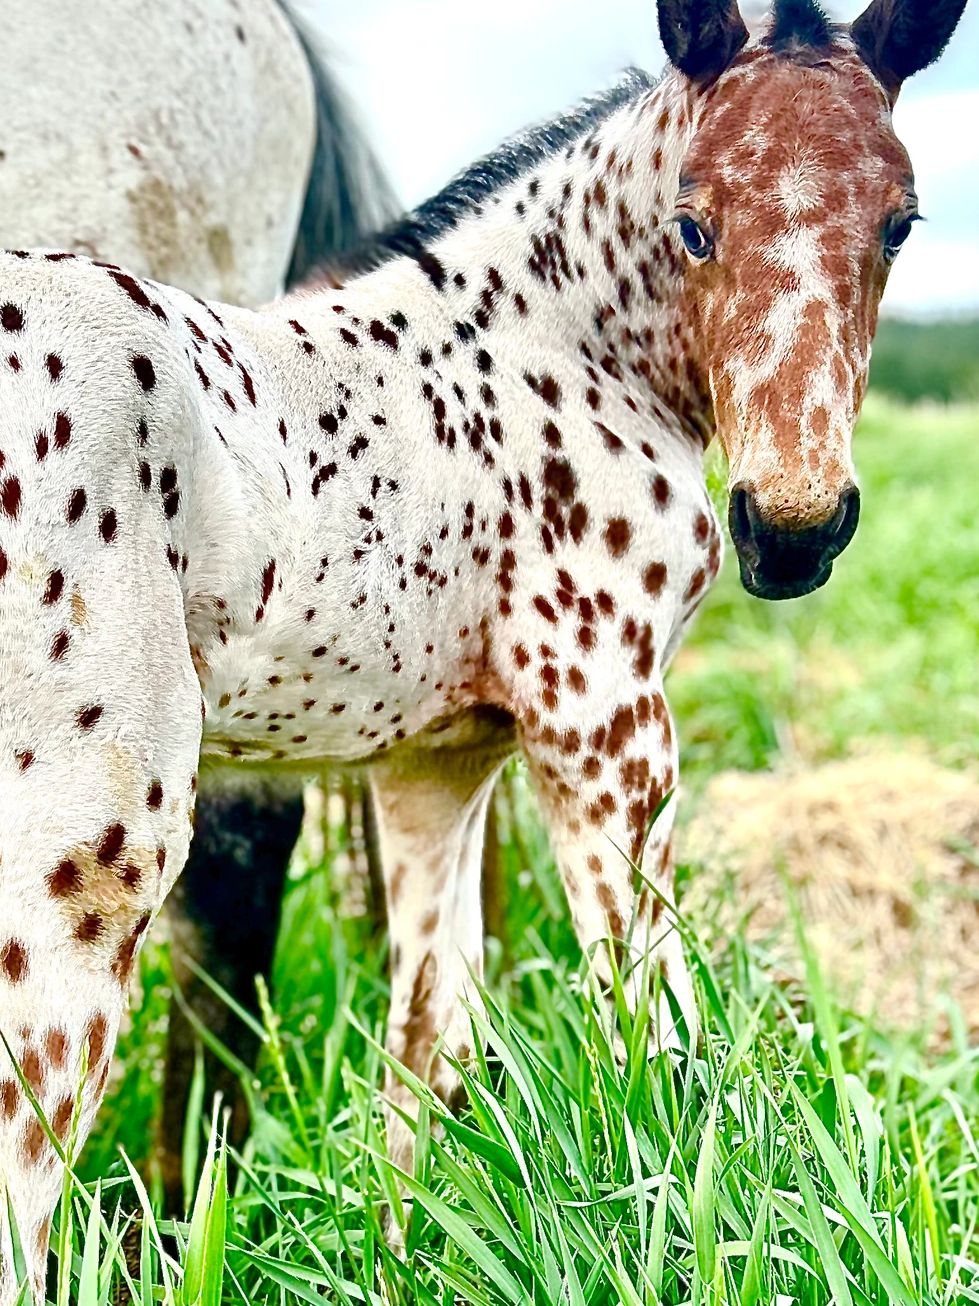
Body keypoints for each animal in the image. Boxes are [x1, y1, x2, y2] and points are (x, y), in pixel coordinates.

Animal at [0, 0, 965, 1295]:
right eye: (693, 222)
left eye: (899, 223)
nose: (793, 527)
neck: (539, 349)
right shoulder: (607, 731)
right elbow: (653, 1036)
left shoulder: (435, 767)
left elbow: (427, 1040)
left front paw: (397, 1258)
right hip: (93, 839)